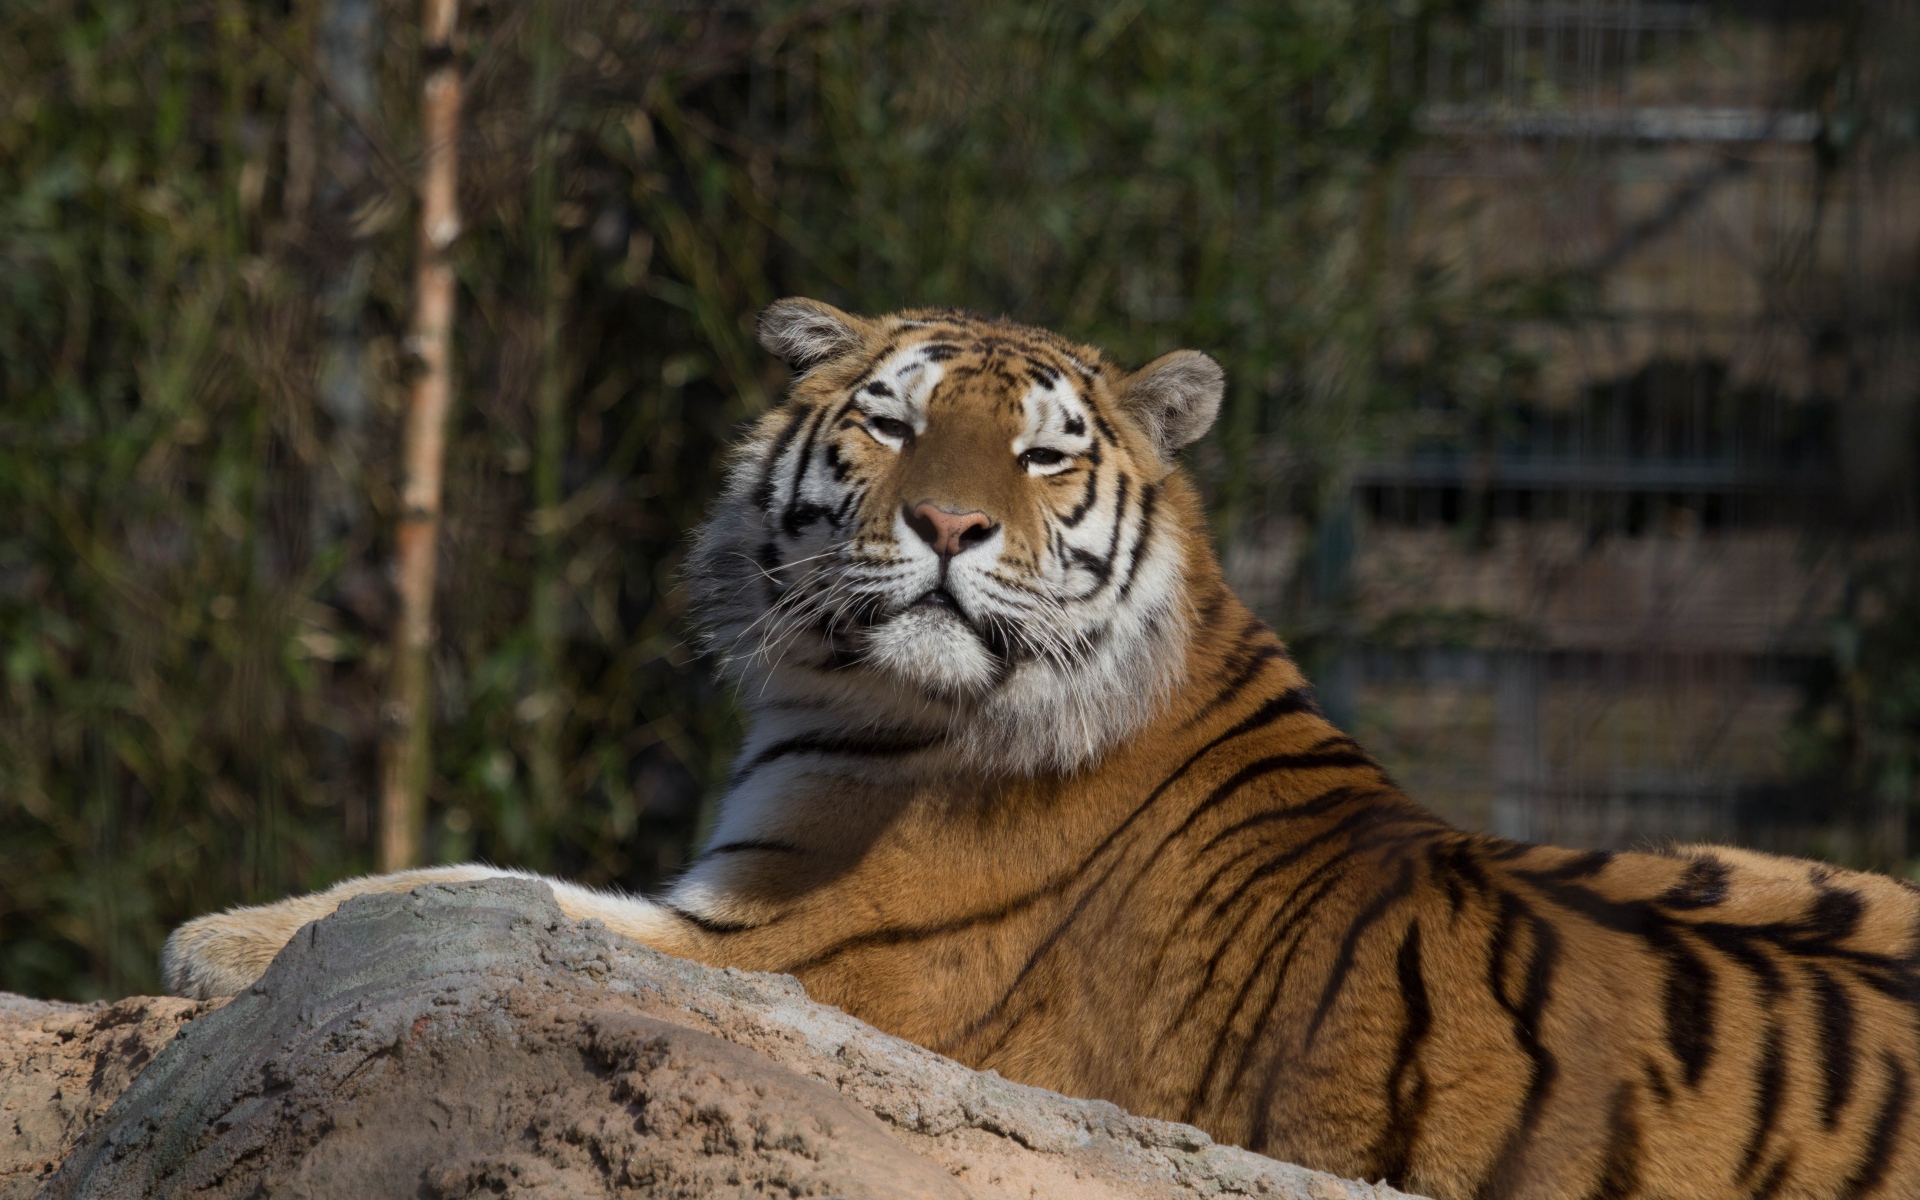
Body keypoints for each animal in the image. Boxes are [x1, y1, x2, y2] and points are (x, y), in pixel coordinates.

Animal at [165, 299, 1920, 1199]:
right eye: (889, 422)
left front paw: (219, 940)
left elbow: (483, 896)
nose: (947, 526)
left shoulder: (802, 955)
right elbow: (483, 889)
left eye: (1042, 455)